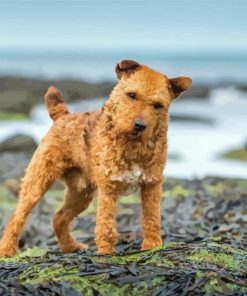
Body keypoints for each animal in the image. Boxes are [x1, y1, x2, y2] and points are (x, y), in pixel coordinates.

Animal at [0, 60, 192, 256]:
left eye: (158, 105)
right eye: (131, 95)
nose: (139, 126)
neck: (132, 146)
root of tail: (63, 116)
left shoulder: (152, 184)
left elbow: (152, 218)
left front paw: (152, 245)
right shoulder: (109, 187)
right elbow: (105, 224)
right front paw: (106, 252)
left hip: (81, 193)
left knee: (59, 217)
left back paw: (71, 246)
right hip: (37, 182)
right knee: (17, 217)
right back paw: (7, 250)